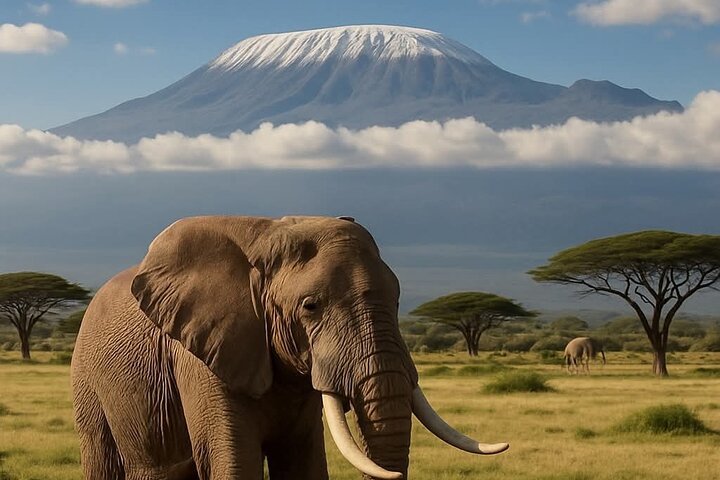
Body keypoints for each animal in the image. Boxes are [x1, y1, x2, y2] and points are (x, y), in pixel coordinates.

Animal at [71, 215, 508, 480]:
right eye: (310, 306)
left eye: (398, 299)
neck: (266, 233)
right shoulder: (203, 354)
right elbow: (233, 461)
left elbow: (303, 462)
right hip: (86, 380)